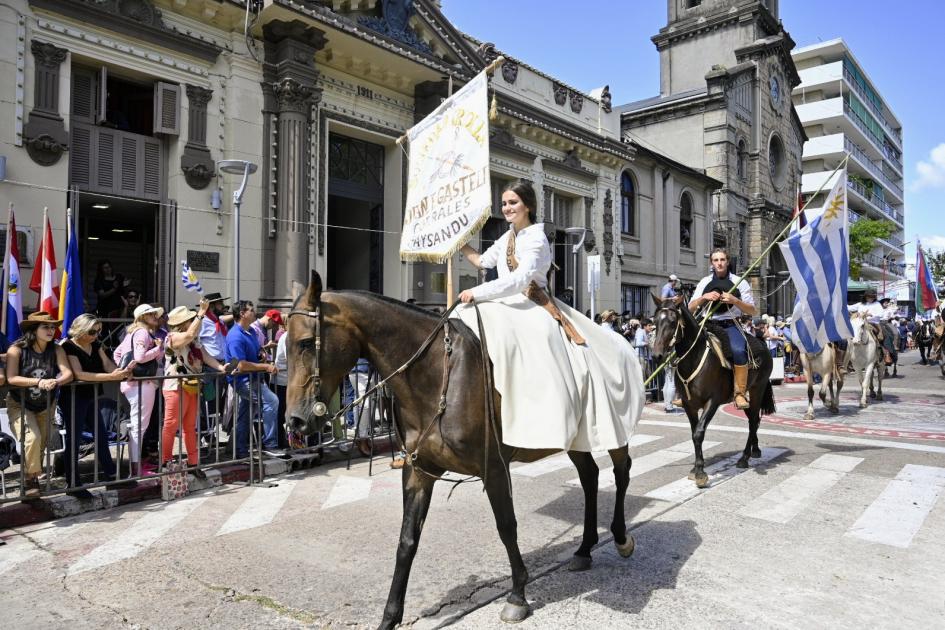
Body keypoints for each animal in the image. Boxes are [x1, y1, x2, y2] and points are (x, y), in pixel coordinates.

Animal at [280, 272, 636, 630]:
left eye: (306, 343)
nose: (295, 422)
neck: (437, 372)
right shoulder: (418, 471)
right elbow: (407, 541)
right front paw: (389, 618)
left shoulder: (494, 468)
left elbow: (507, 527)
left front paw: (517, 595)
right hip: (577, 440)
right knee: (590, 477)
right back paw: (584, 549)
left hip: (613, 432)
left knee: (621, 472)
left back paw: (620, 538)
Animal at [648, 296, 776, 488]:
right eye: (655, 322)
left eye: (672, 321)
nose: (657, 355)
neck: (694, 358)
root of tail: (762, 343)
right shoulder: (689, 405)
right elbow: (694, 433)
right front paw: (695, 469)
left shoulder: (712, 402)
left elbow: (699, 432)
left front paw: (700, 473)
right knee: (754, 419)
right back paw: (756, 449)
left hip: (757, 390)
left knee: (753, 420)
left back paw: (744, 457)